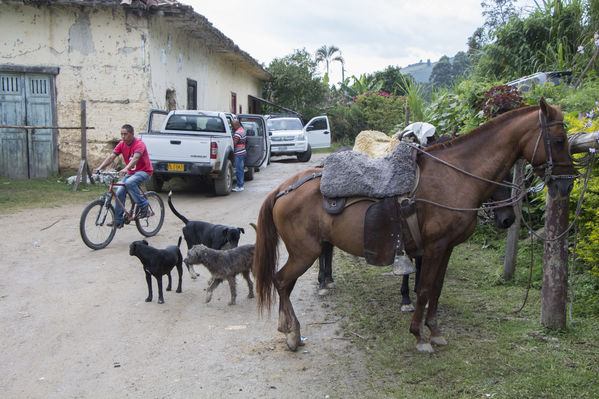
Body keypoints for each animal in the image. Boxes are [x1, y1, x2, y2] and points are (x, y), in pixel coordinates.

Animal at [253, 99, 576, 354]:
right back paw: (292, 332)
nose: (565, 184)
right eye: (560, 140)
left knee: (285, 282)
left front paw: (435, 331)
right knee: (281, 281)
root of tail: (283, 189)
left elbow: (436, 290)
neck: (454, 177)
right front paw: (420, 336)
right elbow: (424, 290)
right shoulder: (434, 247)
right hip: (304, 253)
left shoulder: (445, 249)